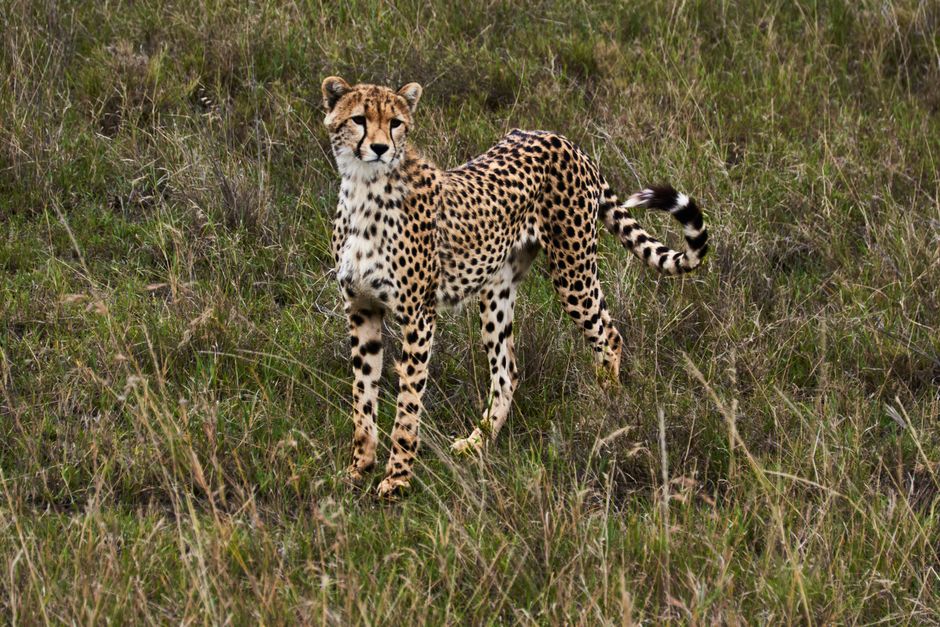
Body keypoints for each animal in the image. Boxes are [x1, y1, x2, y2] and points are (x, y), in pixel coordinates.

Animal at [320, 76, 709, 497]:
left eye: (395, 123)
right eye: (359, 119)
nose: (380, 148)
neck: (364, 189)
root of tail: (559, 138)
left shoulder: (418, 316)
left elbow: (408, 401)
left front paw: (398, 478)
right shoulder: (362, 309)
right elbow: (363, 394)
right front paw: (359, 467)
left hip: (572, 271)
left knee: (608, 334)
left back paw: (609, 410)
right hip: (497, 289)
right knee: (508, 371)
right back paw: (479, 440)